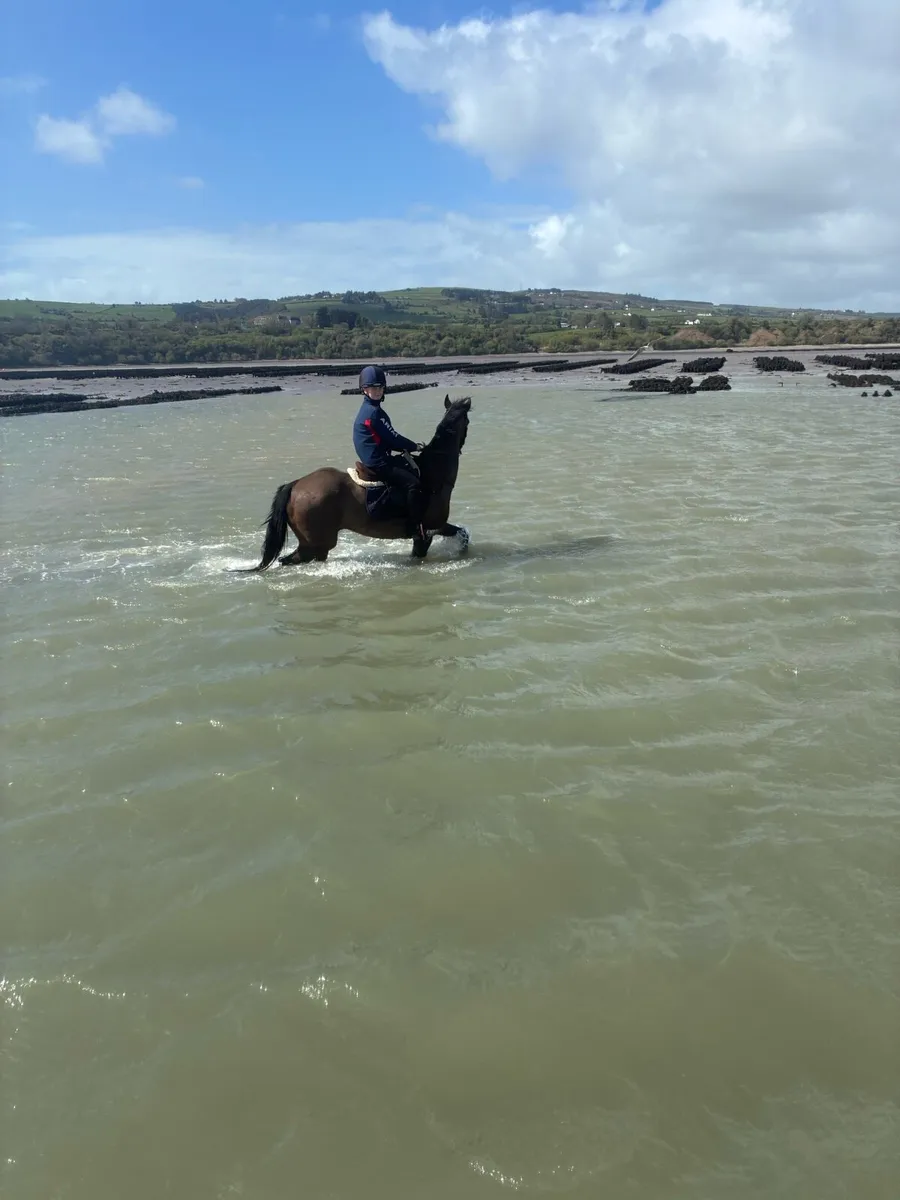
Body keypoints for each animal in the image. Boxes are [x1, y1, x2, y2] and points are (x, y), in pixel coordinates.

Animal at [244, 394, 472, 571]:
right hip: (316, 544)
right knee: (290, 560)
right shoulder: (427, 532)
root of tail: (296, 484)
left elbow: (463, 534)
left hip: (316, 545)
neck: (433, 474)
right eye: (468, 422)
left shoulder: (436, 528)